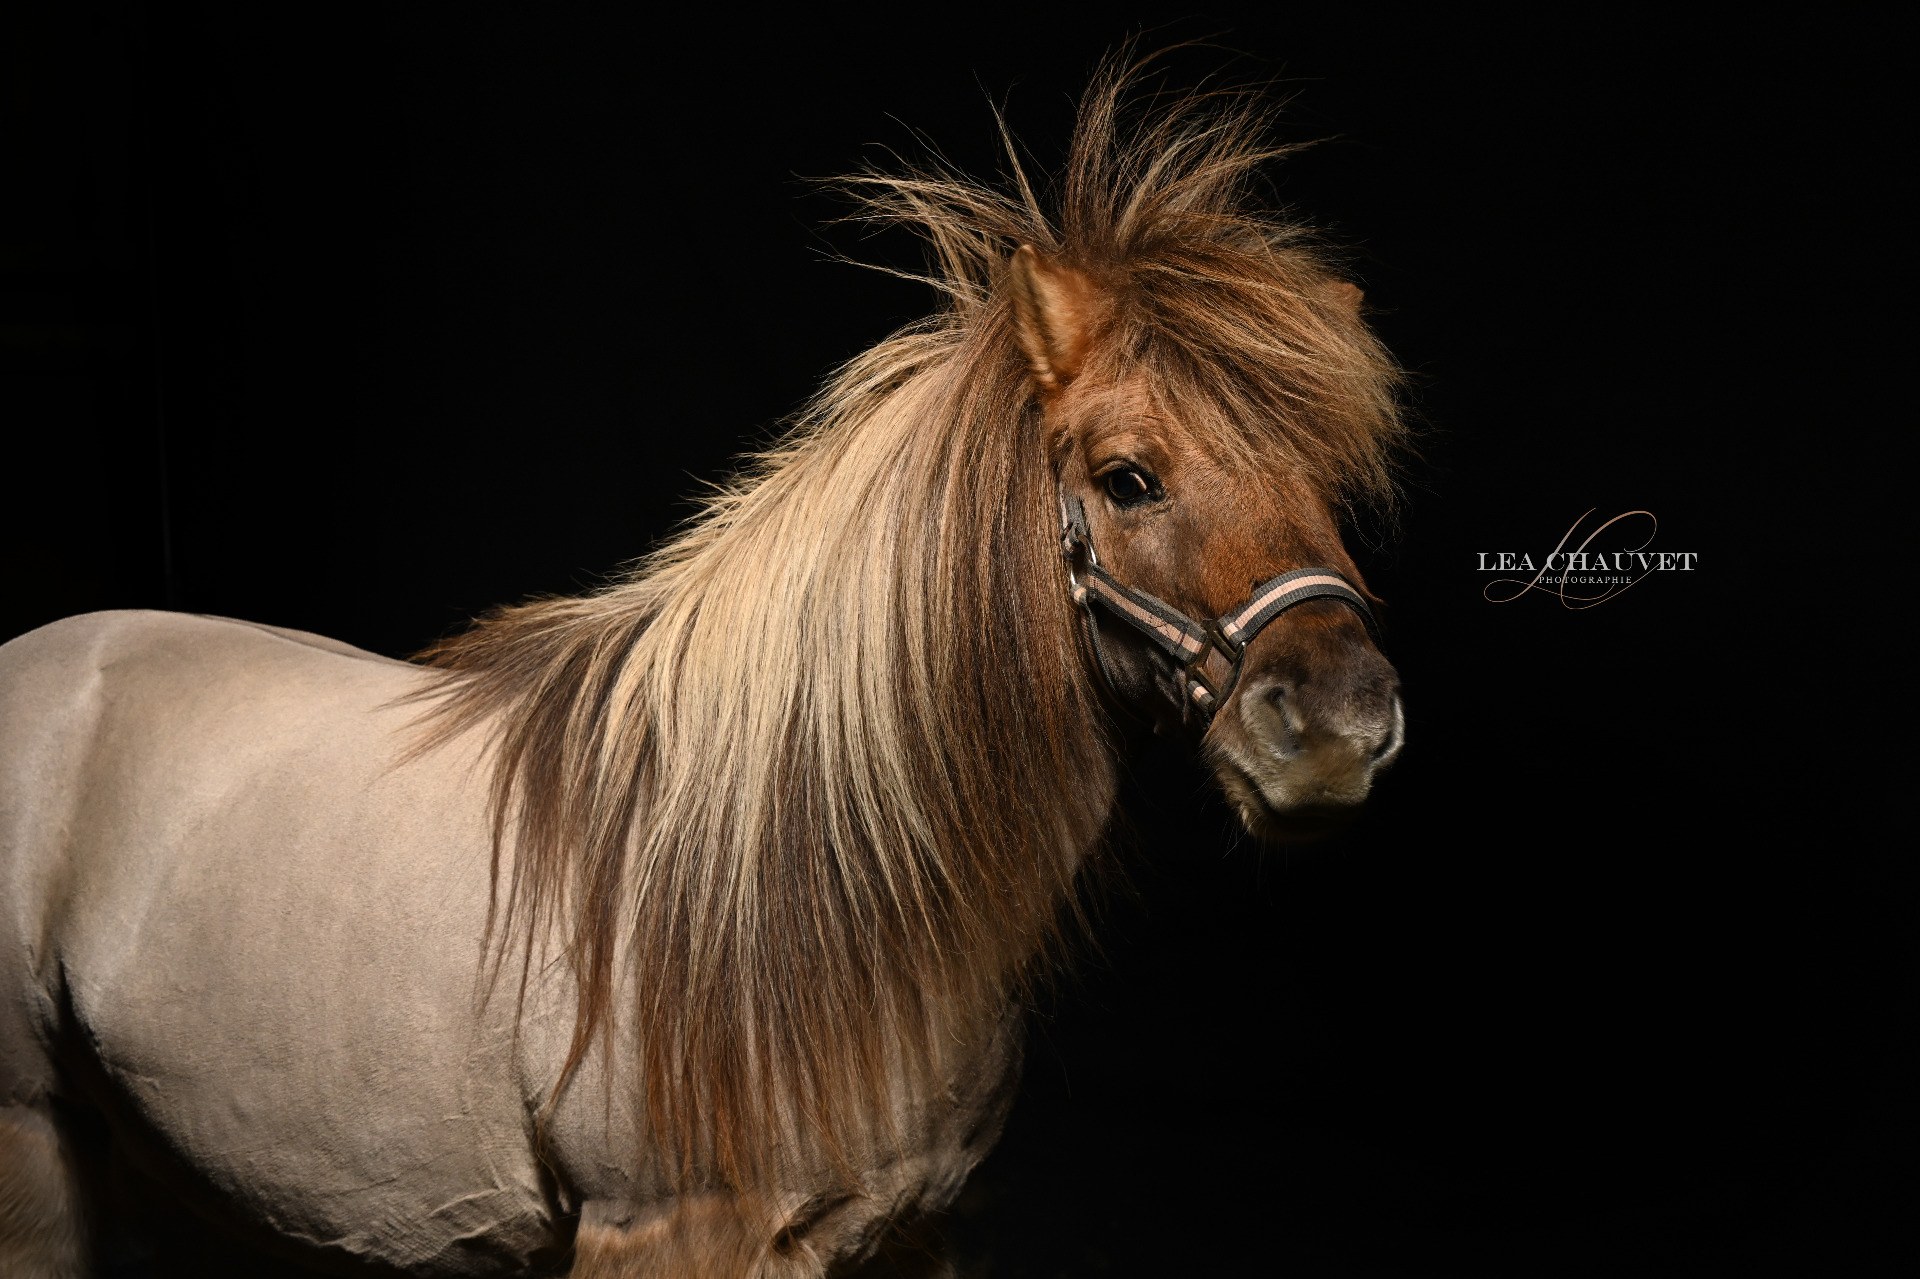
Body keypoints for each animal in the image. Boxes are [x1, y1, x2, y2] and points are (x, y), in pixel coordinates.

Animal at [0, 58, 1408, 1277]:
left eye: (1332, 479)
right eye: (1128, 479)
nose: (1340, 727)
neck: (799, 877)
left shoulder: (911, 1236)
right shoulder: (664, 1234)